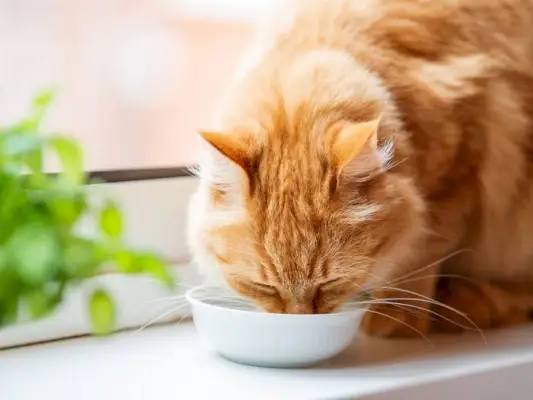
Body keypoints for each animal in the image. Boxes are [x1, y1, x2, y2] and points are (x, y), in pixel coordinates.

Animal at [186, 0, 533, 338]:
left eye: (330, 284)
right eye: (264, 287)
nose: (299, 320)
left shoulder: (466, 150)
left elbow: (422, 247)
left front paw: (397, 314)